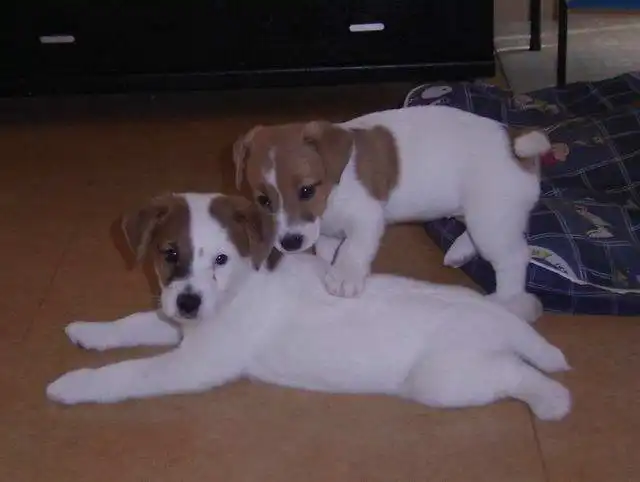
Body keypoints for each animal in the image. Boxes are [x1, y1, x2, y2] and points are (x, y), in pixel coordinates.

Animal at [46, 192, 571, 421]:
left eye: (220, 258)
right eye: (169, 253)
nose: (189, 302)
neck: (240, 285)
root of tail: (496, 315)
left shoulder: (195, 361)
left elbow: (128, 373)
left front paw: (73, 384)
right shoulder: (178, 322)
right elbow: (135, 321)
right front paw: (90, 330)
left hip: (447, 379)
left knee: (520, 376)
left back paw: (551, 402)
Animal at [232, 105, 552, 322]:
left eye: (307, 190)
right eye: (263, 200)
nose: (289, 243)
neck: (333, 191)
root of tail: (514, 141)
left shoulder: (366, 218)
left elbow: (352, 249)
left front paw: (345, 276)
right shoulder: (327, 235)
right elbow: (328, 252)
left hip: (490, 221)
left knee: (513, 258)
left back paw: (509, 303)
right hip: (480, 217)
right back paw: (460, 250)